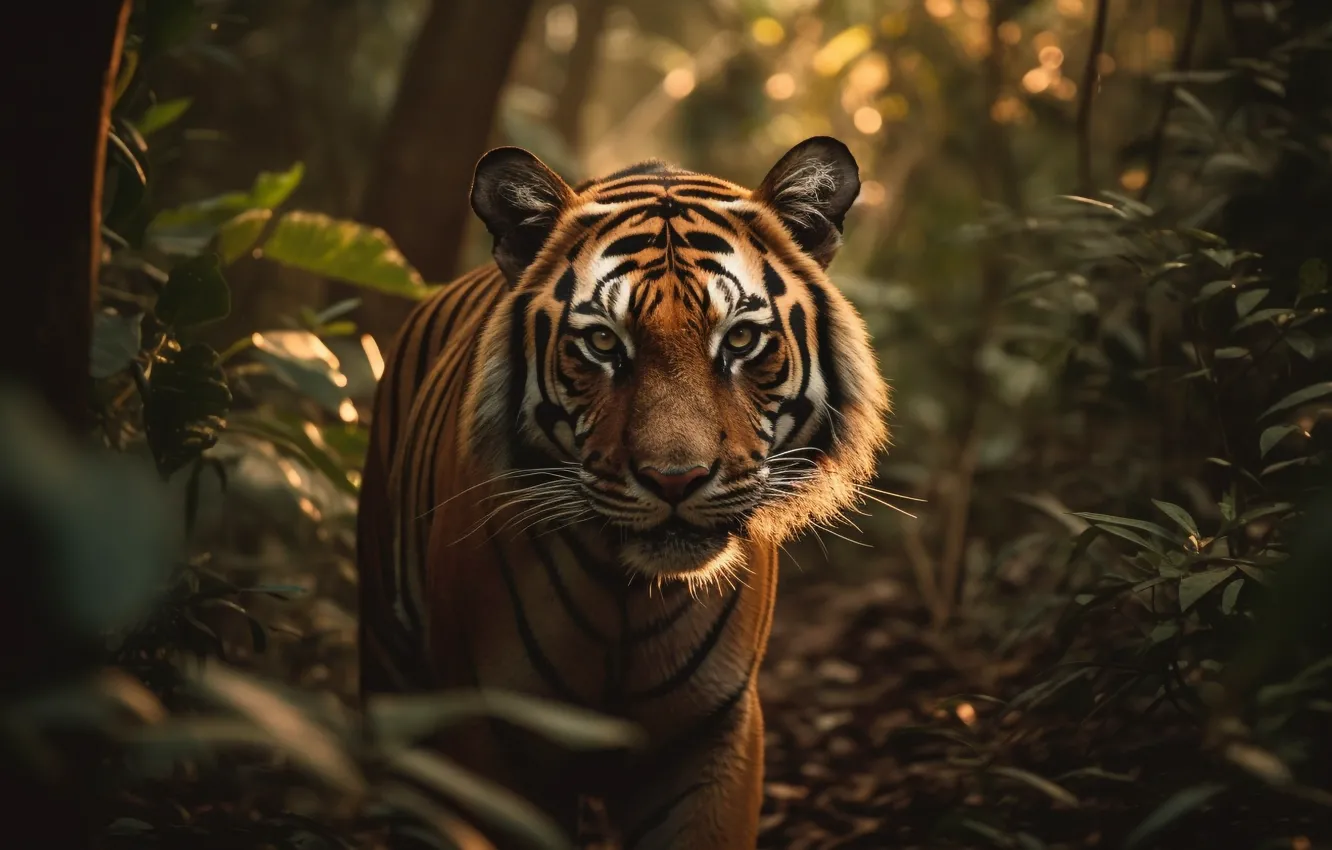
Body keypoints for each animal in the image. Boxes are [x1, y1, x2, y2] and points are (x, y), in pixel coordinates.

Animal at [357, 136, 891, 849]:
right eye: (603, 342)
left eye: (740, 338)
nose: (676, 478)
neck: (627, 598)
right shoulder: (488, 734)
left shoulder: (711, 734)